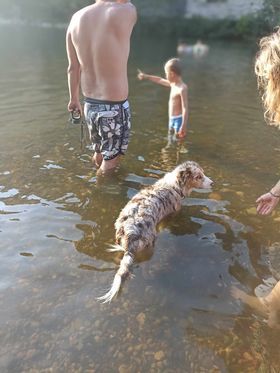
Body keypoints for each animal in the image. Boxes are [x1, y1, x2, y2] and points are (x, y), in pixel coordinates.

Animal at [97, 160, 213, 302]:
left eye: (203, 173)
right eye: (199, 177)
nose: (212, 183)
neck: (175, 186)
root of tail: (130, 233)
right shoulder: (172, 214)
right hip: (150, 244)